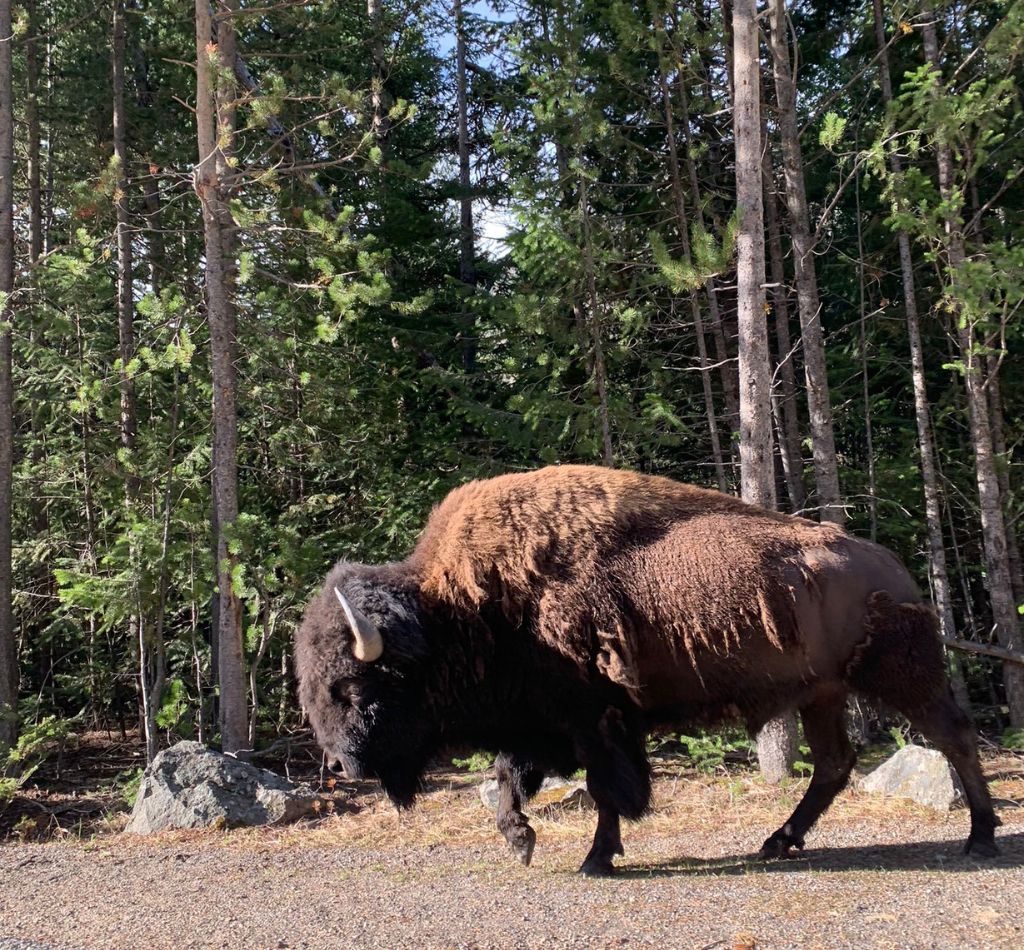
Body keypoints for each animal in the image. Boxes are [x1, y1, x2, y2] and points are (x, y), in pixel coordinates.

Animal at [292, 464, 995, 872]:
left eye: (352, 687)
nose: (345, 766)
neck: (457, 609)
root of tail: (897, 572)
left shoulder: (596, 722)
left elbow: (608, 791)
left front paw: (596, 859)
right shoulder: (541, 725)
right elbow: (508, 778)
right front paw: (520, 842)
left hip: (902, 677)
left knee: (953, 737)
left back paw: (980, 836)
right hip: (821, 693)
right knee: (833, 763)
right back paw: (776, 842)